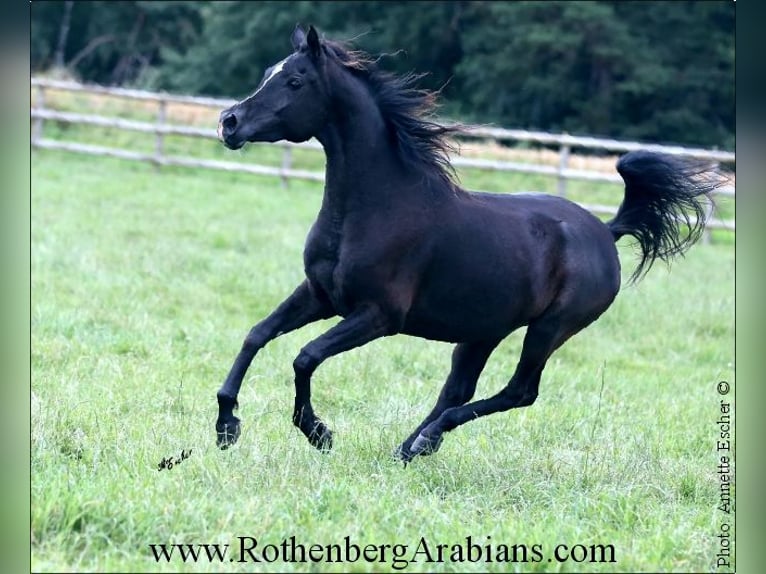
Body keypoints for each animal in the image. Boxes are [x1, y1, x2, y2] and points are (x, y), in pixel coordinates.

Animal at [214, 25, 720, 464]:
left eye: (295, 80)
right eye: (268, 72)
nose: (229, 122)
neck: (377, 206)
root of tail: (606, 232)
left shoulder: (378, 316)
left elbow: (305, 357)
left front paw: (318, 432)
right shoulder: (319, 295)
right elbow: (257, 334)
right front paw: (226, 426)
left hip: (549, 328)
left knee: (519, 392)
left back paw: (423, 441)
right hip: (484, 330)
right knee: (458, 389)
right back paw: (409, 448)